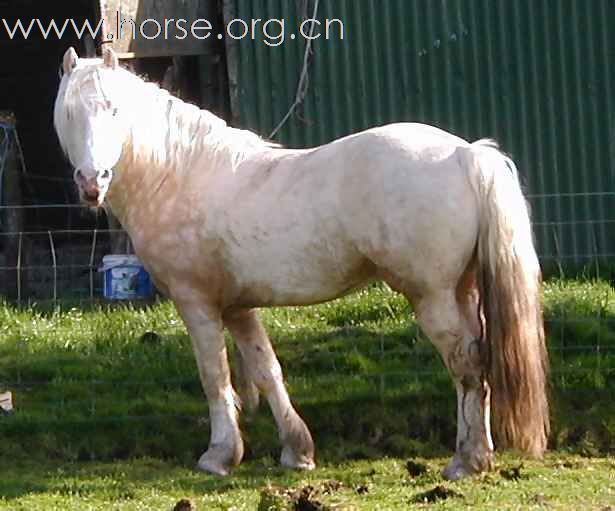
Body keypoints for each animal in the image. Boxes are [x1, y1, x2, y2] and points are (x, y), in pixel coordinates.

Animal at [55, 48, 552, 480]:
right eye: (68, 113)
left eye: (113, 109)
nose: (92, 182)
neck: (178, 175)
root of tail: (465, 154)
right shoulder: (238, 307)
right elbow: (266, 371)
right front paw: (297, 451)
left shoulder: (198, 304)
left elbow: (215, 376)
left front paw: (219, 456)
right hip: (463, 291)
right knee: (478, 364)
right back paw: (478, 454)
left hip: (433, 298)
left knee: (466, 365)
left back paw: (465, 461)